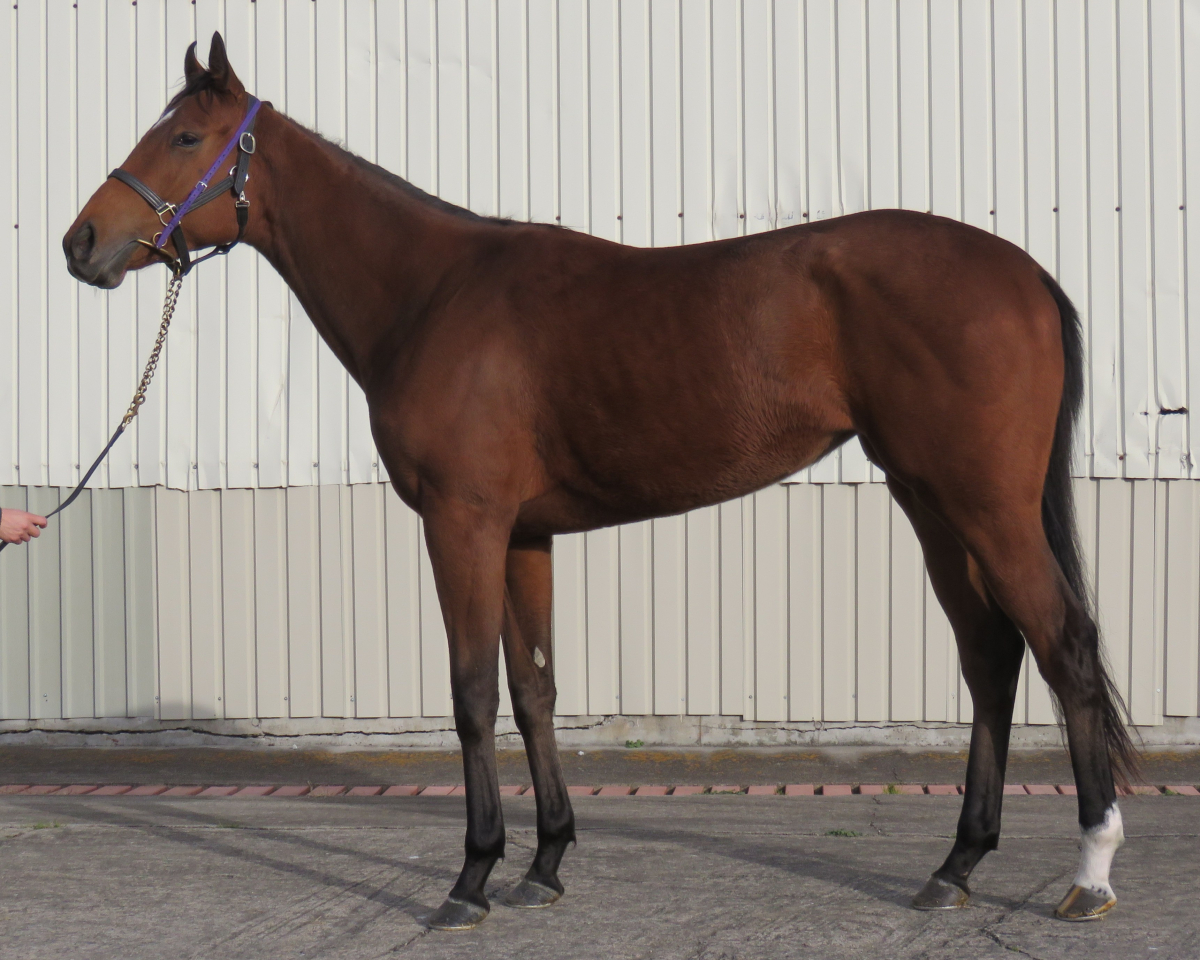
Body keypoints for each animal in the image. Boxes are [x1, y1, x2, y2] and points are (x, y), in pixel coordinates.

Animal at [64, 33, 1137, 929]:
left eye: (186, 135)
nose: (81, 244)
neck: (432, 293)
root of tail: (1025, 273)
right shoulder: (524, 534)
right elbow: (535, 688)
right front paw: (545, 864)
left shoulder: (463, 523)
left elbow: (472, 693)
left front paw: (471, 877)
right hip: (931, 502)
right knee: (991, 657)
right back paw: (956, 864)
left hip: (985, 506)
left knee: (1066, 649)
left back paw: (1088, 873)